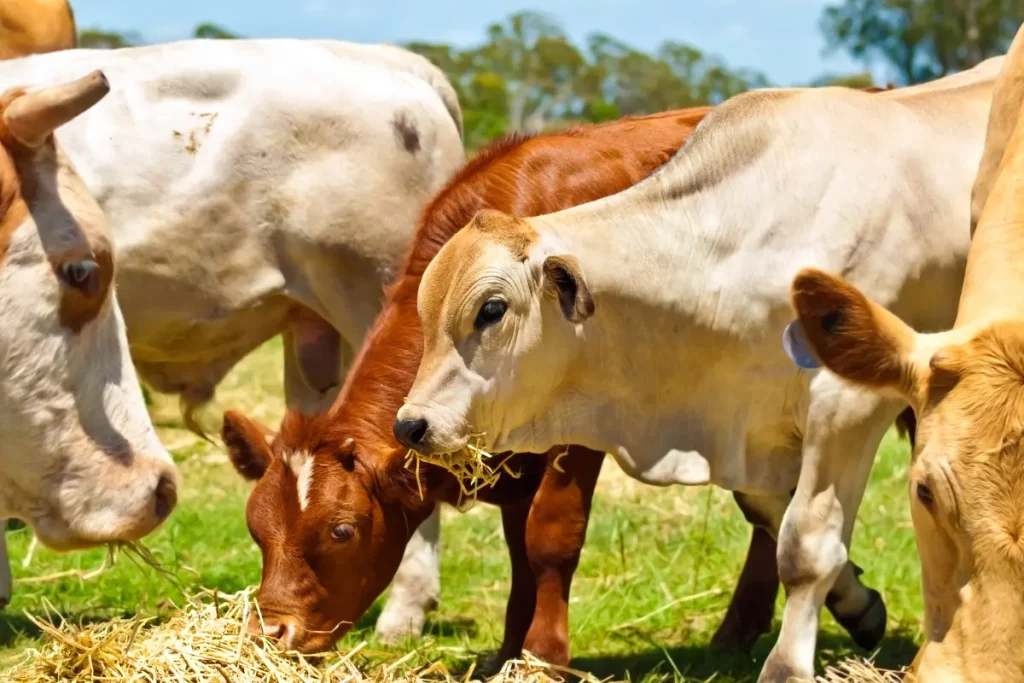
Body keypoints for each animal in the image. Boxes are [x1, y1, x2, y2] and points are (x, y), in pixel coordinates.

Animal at [395, 60, 1003, 683]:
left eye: (491, 309)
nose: (411, 425)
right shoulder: (755, 428)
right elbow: (768, 514)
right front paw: (860, 605)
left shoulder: (847, 407)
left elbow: (805, 547)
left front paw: (786, 666)